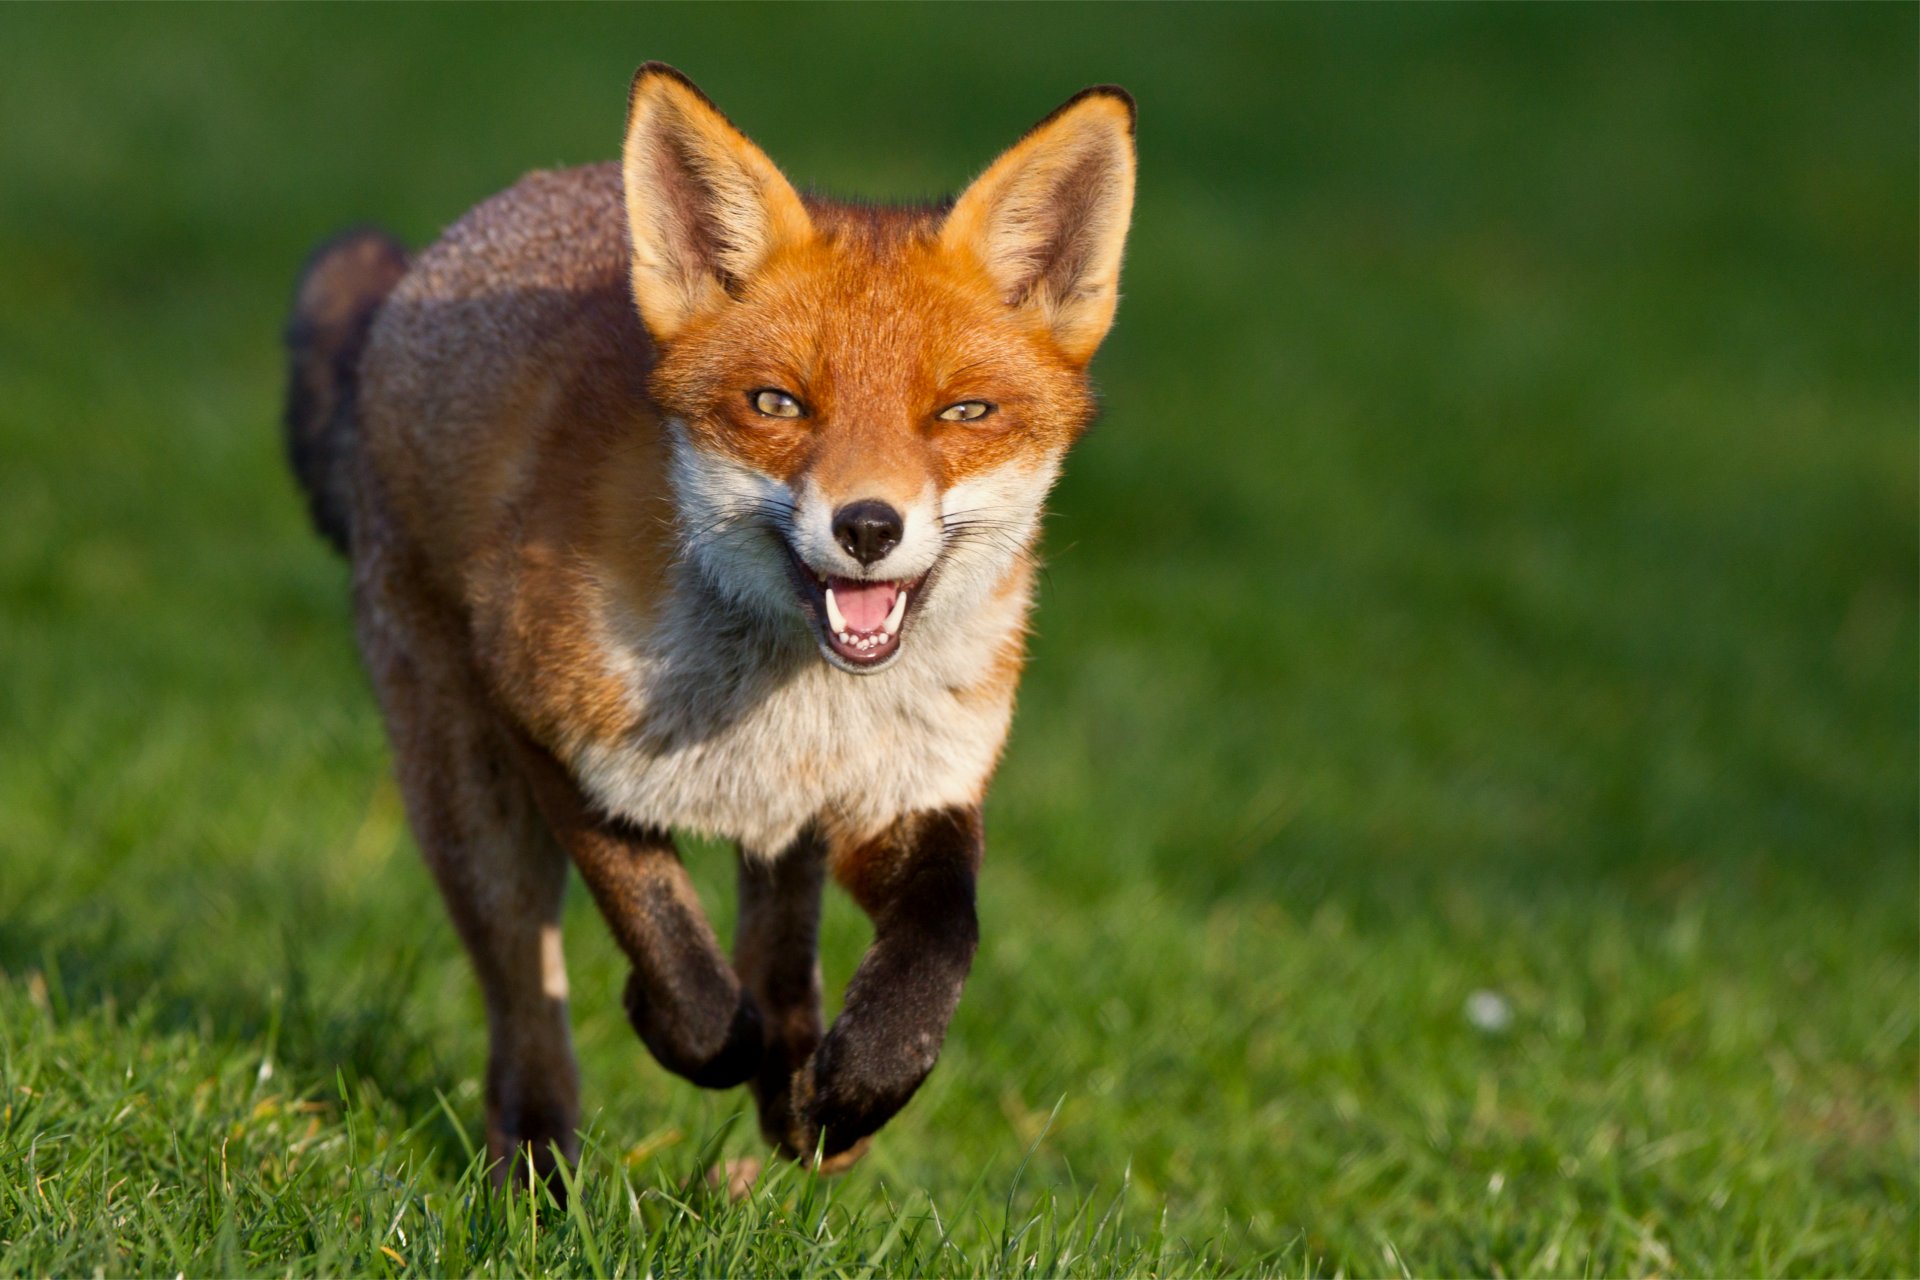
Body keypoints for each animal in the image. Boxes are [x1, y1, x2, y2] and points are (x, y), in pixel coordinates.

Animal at [283, 63, 1136, 1190]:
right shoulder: (554, 735)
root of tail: (450, 247)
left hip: (783, 831)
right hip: (467, 801)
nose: (869, 526)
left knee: (781, 946)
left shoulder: (913, 787)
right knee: (523, 1001)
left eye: (963, 413)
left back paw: (798, 1091)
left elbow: (940, 942)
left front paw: (860, 1081)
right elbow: (679, 963)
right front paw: (666, 1020)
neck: (795, 703)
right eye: (776, 403)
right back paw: (538, 1164)